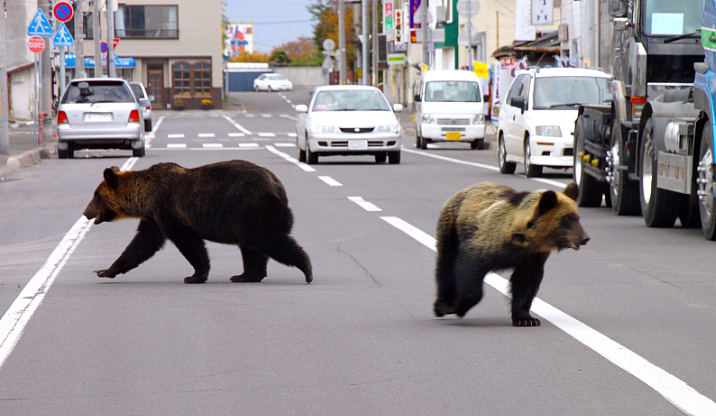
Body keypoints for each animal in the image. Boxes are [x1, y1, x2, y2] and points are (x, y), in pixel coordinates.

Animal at [83, 160, 313, 284]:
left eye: (96, 196)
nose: (85, 212)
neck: (145, 197)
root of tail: (277, 185)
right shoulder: (154, 218)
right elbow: (141, 244)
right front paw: (105, 270)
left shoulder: (168, 210)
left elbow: (188, 242)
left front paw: (195, 275)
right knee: (251, 247)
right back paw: (245, 275)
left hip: (249, 207)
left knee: (265, 239)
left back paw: (306, 268)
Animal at [433, 182, 589, 326]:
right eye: (567, 218)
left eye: (578, 217)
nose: (585, 238)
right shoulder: (487, 243)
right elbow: (469, 268)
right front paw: (458, 307)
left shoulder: (532, 258)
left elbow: (525, 283)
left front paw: (526, 319)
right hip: (452, 227)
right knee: (445, 263)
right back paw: (442, 305)